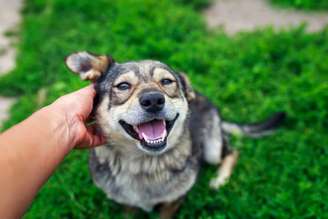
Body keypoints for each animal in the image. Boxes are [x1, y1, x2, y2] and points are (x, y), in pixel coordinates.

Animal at [64, 51, 284, 219]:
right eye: (123, 86)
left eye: (166, 81)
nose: (153, 100)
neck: (143, 163)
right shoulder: (127, 205)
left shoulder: (172, 202)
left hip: (212, 149)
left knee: (233, 152)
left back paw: (219, 179)